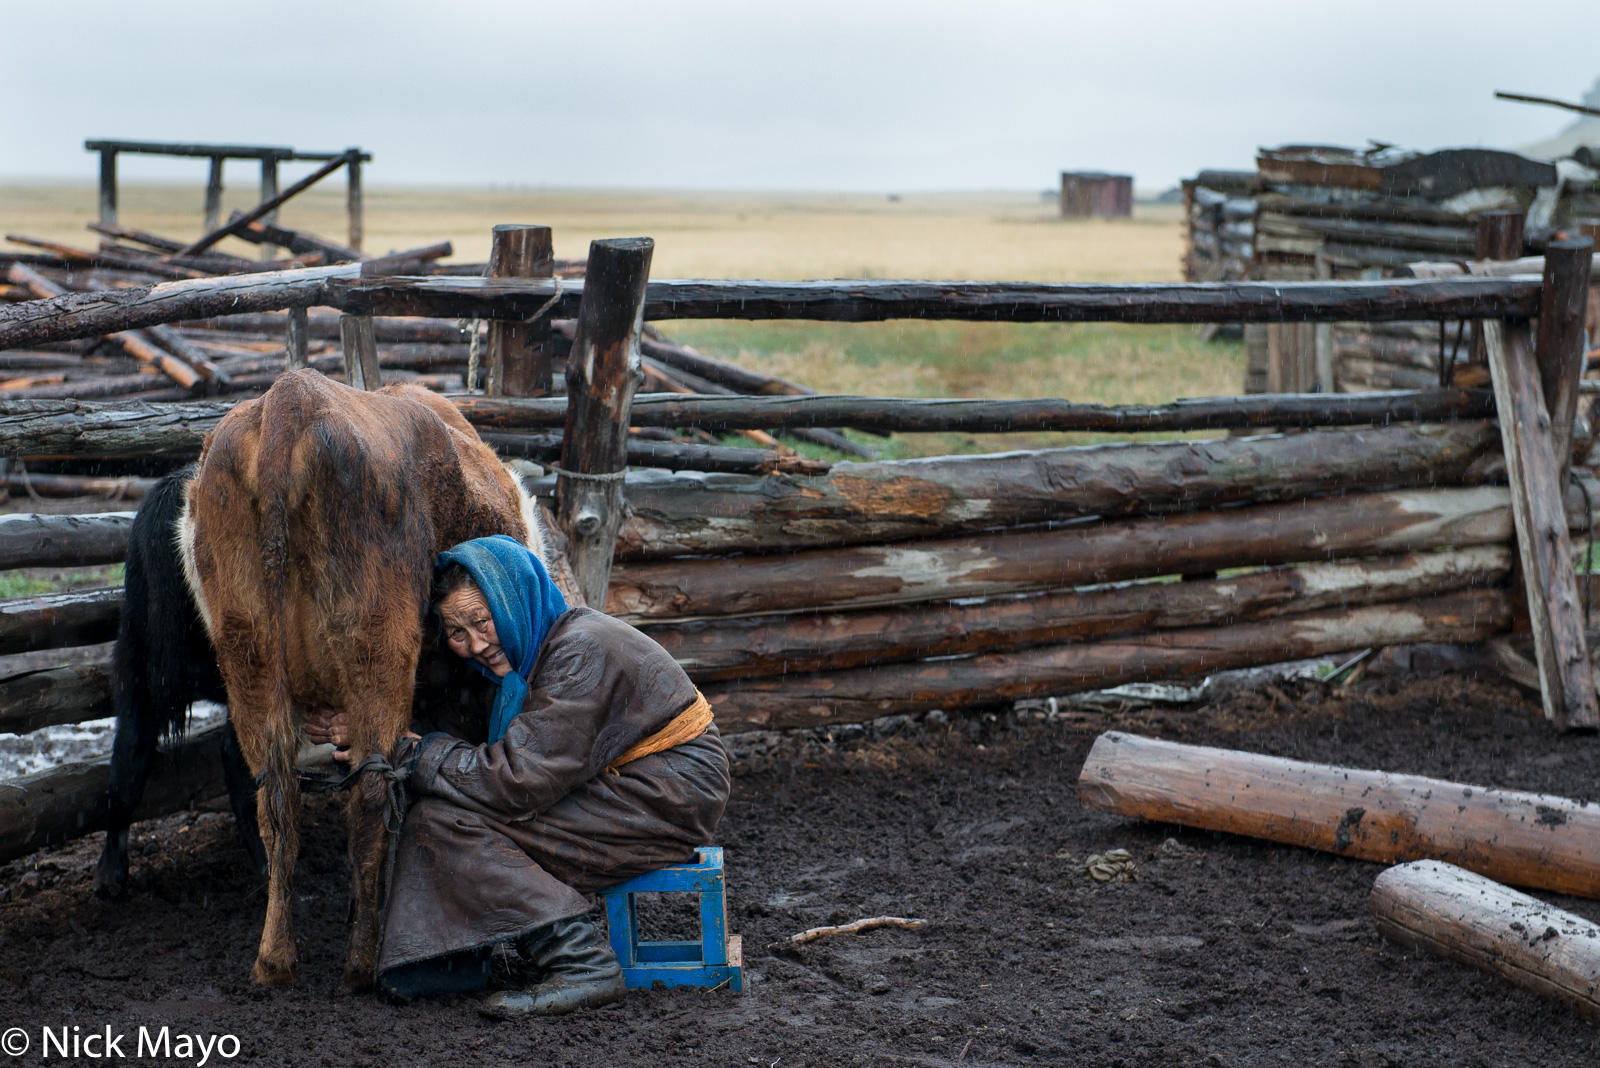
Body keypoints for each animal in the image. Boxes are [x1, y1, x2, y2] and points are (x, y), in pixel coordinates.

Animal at [183, 370, 537, 991]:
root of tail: (291, 398)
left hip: (246, 654)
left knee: (276, 802)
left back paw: (275, 960)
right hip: (378, 651)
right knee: (372, 794)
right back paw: (363, 961)